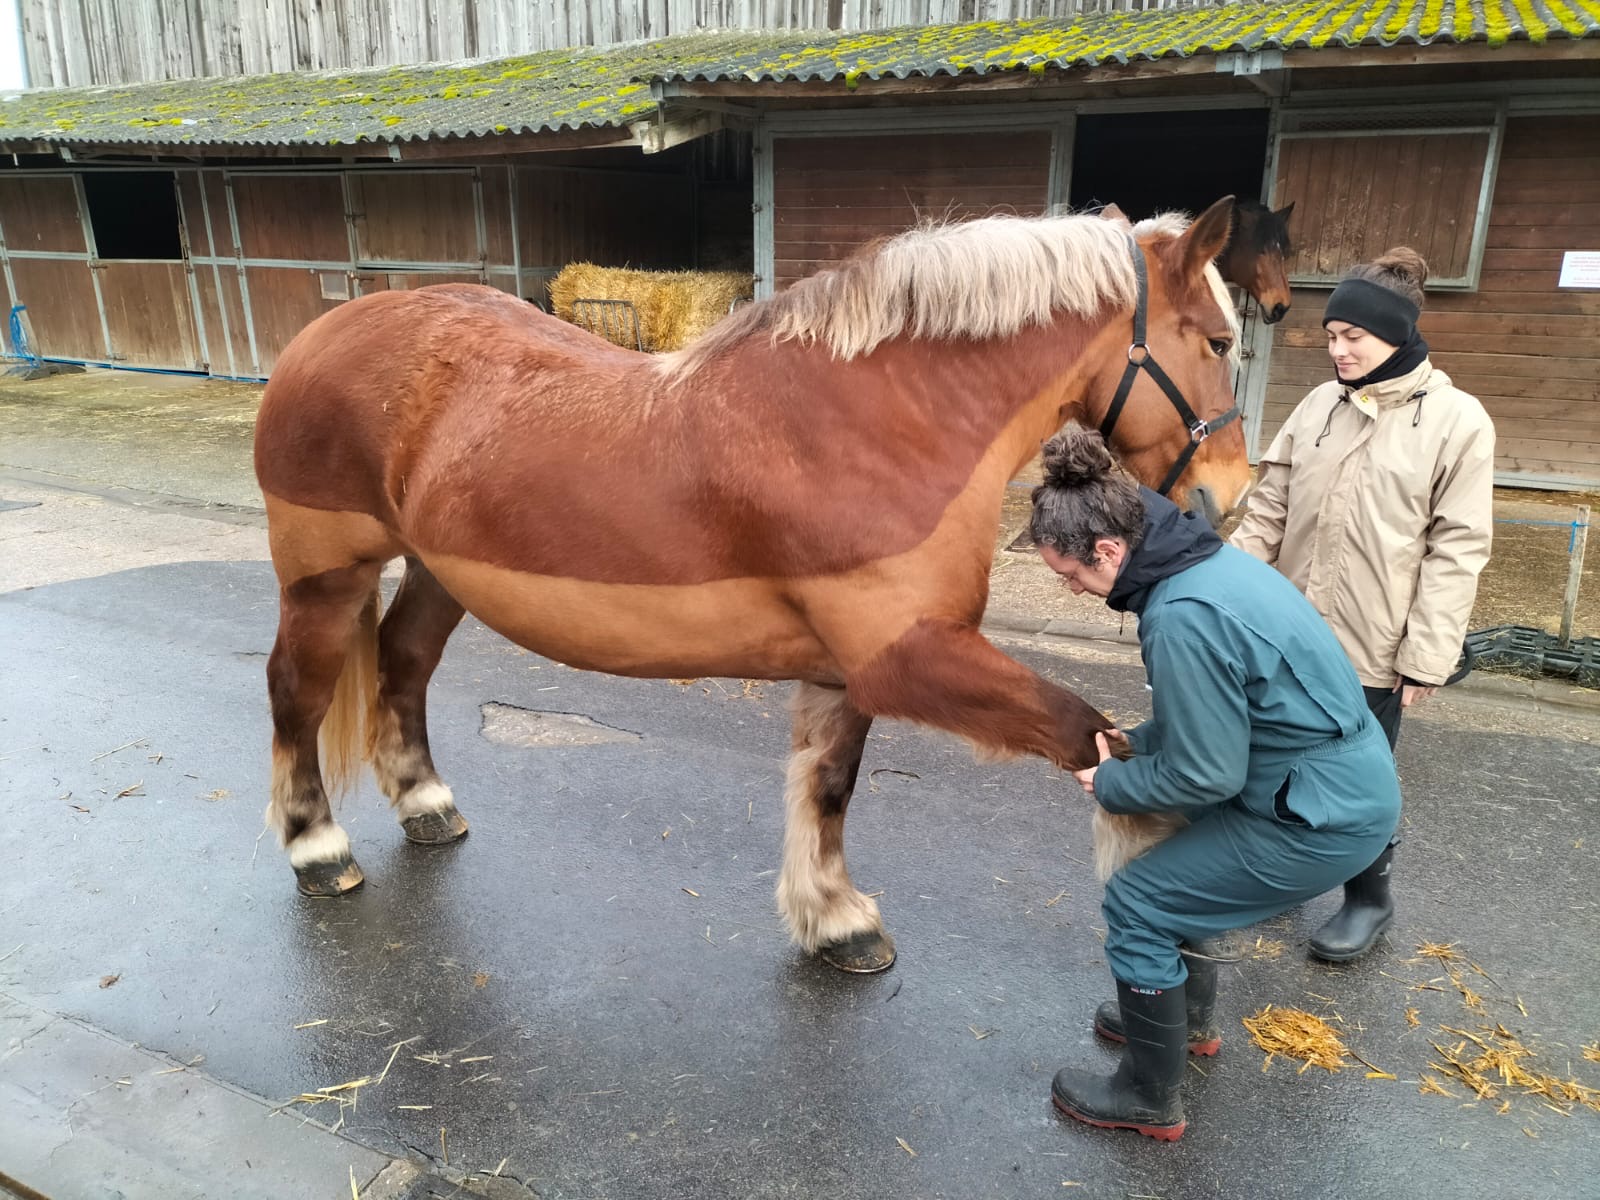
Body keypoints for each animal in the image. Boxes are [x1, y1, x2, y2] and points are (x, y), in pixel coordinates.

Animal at [252, 200, 1248, 979]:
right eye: (1220, 340)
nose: (1228, 499)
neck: (873, 424)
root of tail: (323, 333)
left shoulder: (844, 674)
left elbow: (828, 787)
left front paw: (835, 921)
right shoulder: (906, 657)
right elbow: (1085, 729)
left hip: (434, 571)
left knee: (404, 664)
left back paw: (426, 803)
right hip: (324, 577)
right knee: (297, 693)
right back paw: (317, 849)